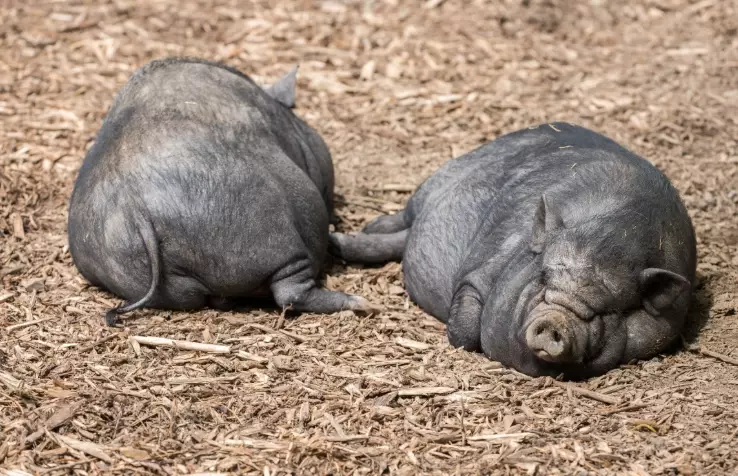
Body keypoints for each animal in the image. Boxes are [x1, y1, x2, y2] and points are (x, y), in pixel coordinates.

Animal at [329, 122, 696, 378]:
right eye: (543, 277)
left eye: (607, 310)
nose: (555, 322)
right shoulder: (481, 270)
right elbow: (465, 326)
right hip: (436, 182)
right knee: (403, 219)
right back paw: (367, 228)